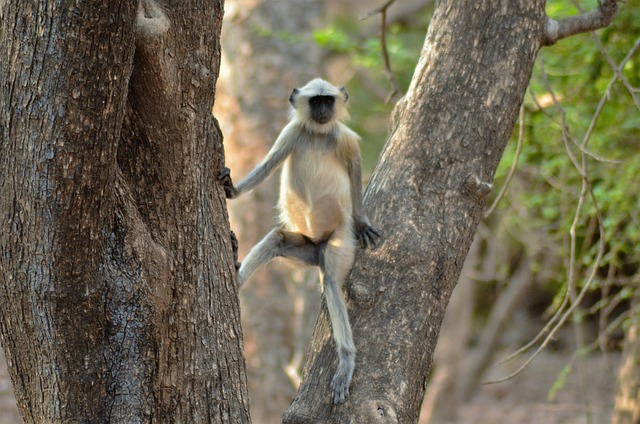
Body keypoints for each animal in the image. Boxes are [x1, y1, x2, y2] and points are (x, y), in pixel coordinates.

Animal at [220, 77, 380, 404]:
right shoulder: (291, 132)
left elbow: (355, 170)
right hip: (307, 248)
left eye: (328, 101)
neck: (318, 134)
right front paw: (233, 190)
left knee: (330, 280)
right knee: (277, 239)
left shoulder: (344, 137)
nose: (322, 112)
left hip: (338, 242)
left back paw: (346, 360)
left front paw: (362, 221)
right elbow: (268, 165)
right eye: (315, 101)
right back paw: (237, 280)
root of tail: (318, 245)